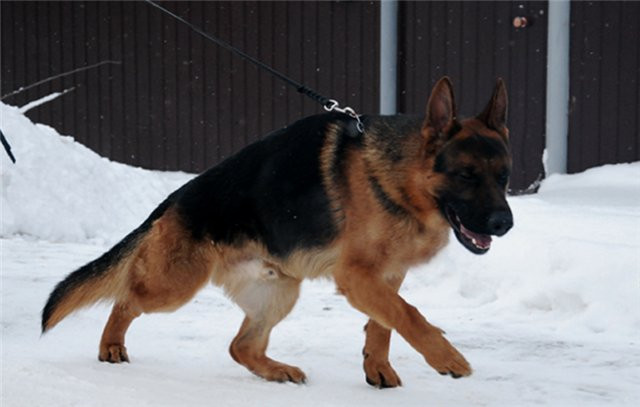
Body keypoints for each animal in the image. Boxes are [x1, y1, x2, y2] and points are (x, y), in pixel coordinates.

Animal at [42, 77, 513, 388]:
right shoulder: (357, 277)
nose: (504, 224)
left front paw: (377, 367)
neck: (399, 177)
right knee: (125, 298)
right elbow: (408, 314)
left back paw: (275, 370)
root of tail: (172, 201)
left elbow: (386, 321)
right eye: (467, 175)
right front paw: (446, 356)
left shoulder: (386, 275)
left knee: (241, 347)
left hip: (279, 290)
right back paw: (111, 345)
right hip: (173, 286)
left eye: (504, 176)